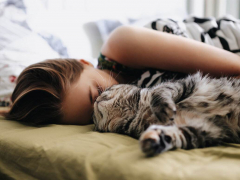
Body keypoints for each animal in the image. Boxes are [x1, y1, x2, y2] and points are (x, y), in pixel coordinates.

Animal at [93, 73, 240, 156]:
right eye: (94, 120)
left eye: (107, 88)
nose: (95, 99)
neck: (139, 111)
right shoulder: (207, 128)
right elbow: (177, 136)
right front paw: (153, 140)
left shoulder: (182, 84)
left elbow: (158, 93)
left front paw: (163, 108)